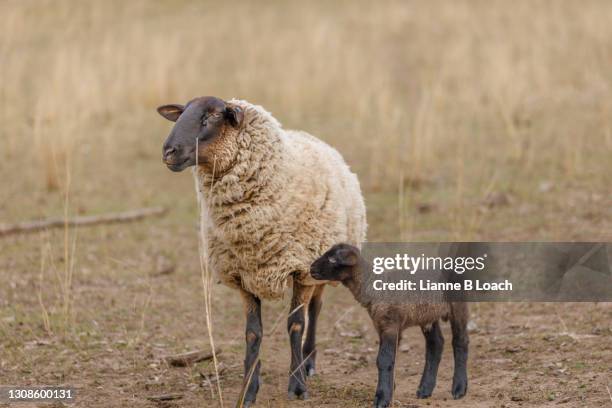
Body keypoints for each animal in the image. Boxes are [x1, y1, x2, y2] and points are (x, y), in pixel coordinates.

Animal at [158, 96, 368, 404]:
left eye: (211, 117)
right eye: (181, 114)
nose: (168, 151)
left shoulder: (301, 268)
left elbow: (296, 325)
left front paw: (297, 386)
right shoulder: (242, 275)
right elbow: (253, 334)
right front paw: (248, 389)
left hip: (320, 264)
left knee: (315, 310)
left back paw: (309, 363)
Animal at [310, 244, 468, 406]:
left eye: (333, 259)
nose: (311, 269)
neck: (373, 285)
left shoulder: (390, 325)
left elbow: (384, 359)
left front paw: (382, 398)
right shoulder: (381, 326)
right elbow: (391, 358)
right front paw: (390, 389)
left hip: (458, 308)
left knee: (460, 342)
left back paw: (459, 388)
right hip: (427, 315)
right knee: (436, 344)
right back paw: (425, 389)